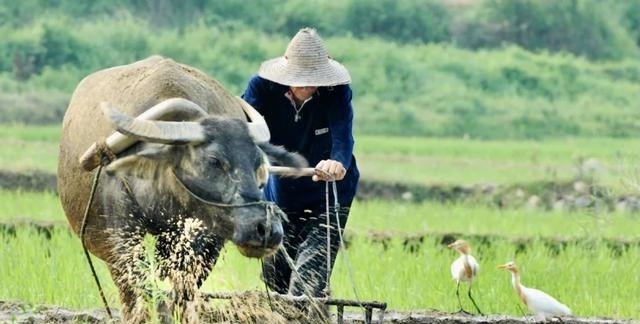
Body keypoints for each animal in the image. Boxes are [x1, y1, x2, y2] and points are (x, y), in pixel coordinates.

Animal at [56, 54, 306, 322]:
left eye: (258, 163)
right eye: (214, 160)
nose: (266, 229)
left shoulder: (200, 240)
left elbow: (179, 289)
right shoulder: (120, 234)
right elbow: (140, 288)